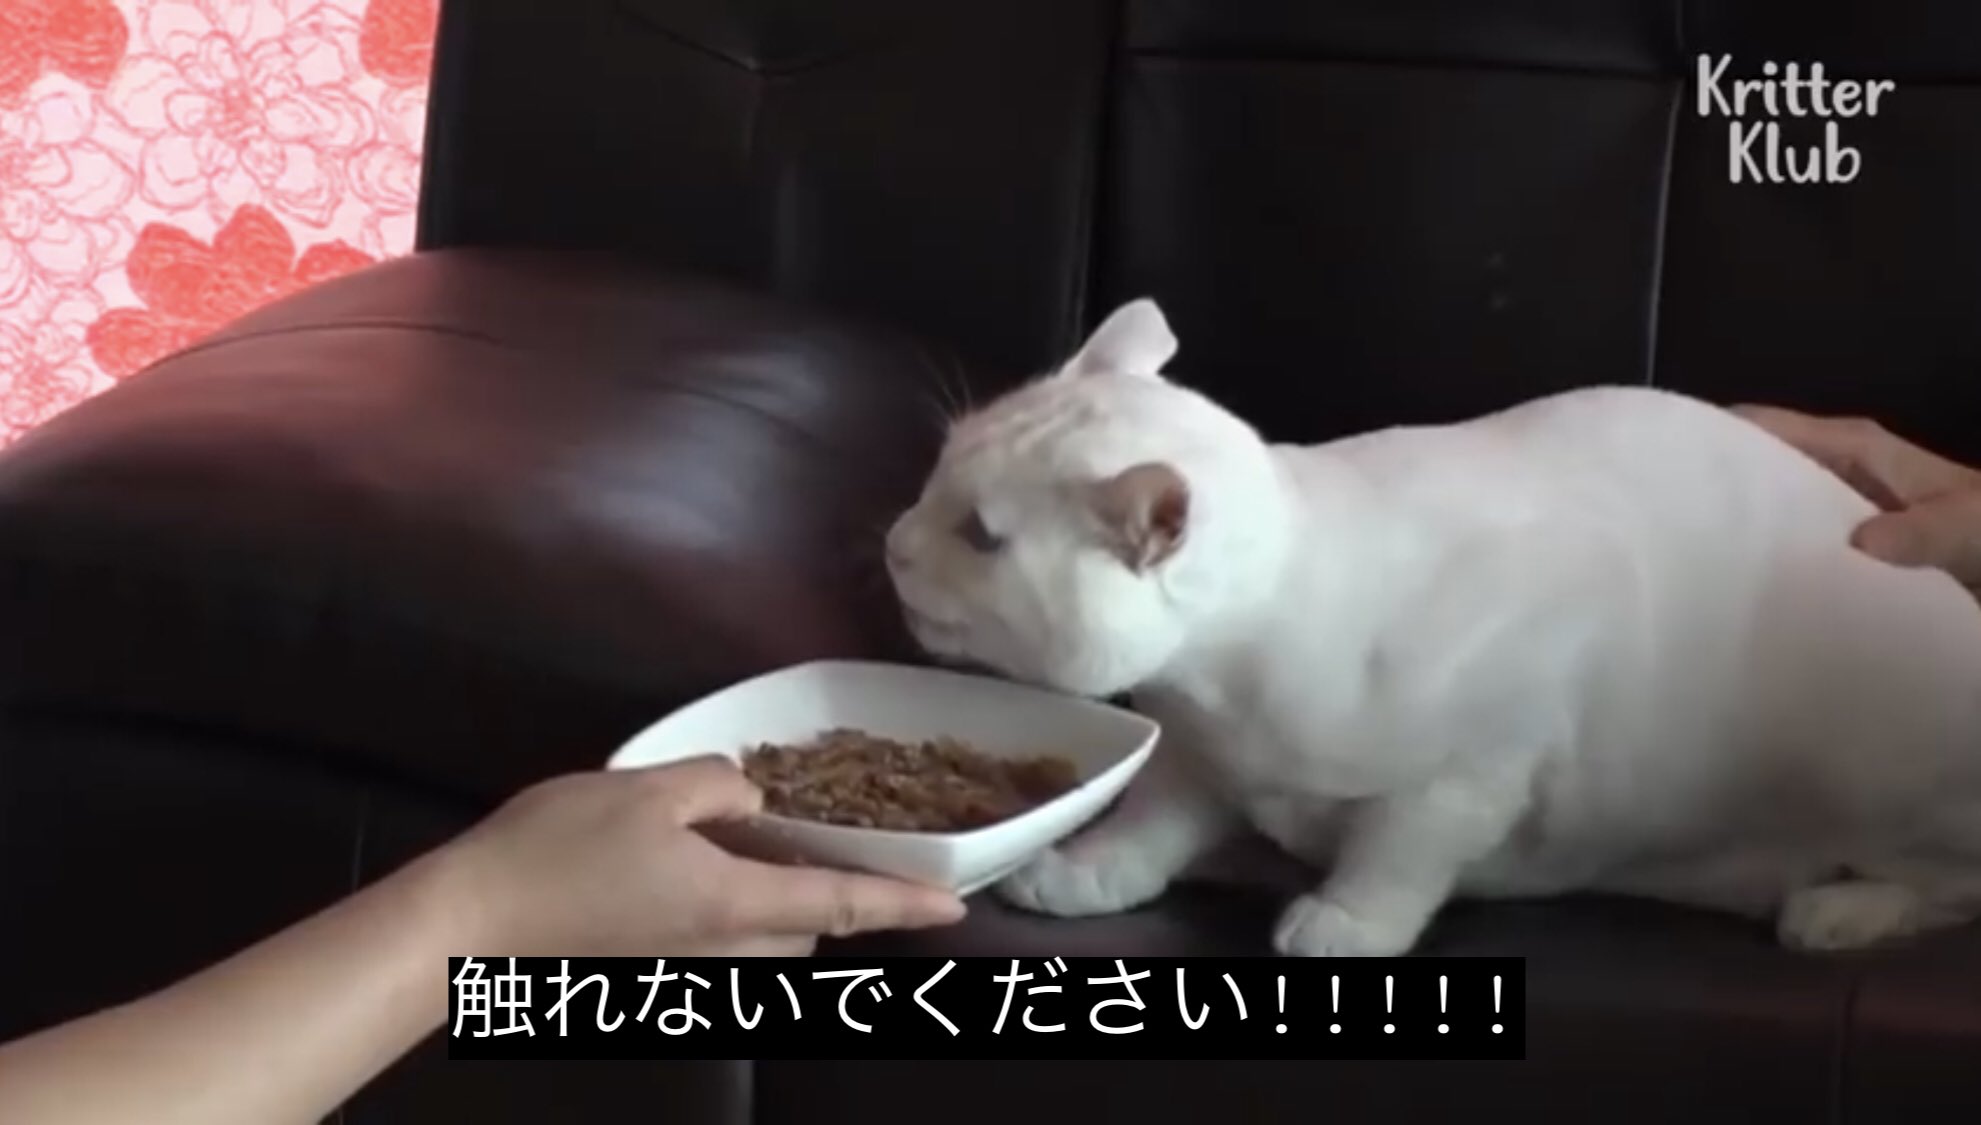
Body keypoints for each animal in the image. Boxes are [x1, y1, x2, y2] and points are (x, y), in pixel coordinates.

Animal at [883, 297, 1981, 957]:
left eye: (979, 536)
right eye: (934, 473)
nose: (892, 543)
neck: (1227, 689)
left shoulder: (1481, 761)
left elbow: (1399, 849)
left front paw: (1344, 919)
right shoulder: (1199, 762)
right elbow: (1152, 819)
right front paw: (1090, 867)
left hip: (1875, 765)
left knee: (1952, 881)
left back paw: (1840, 908)